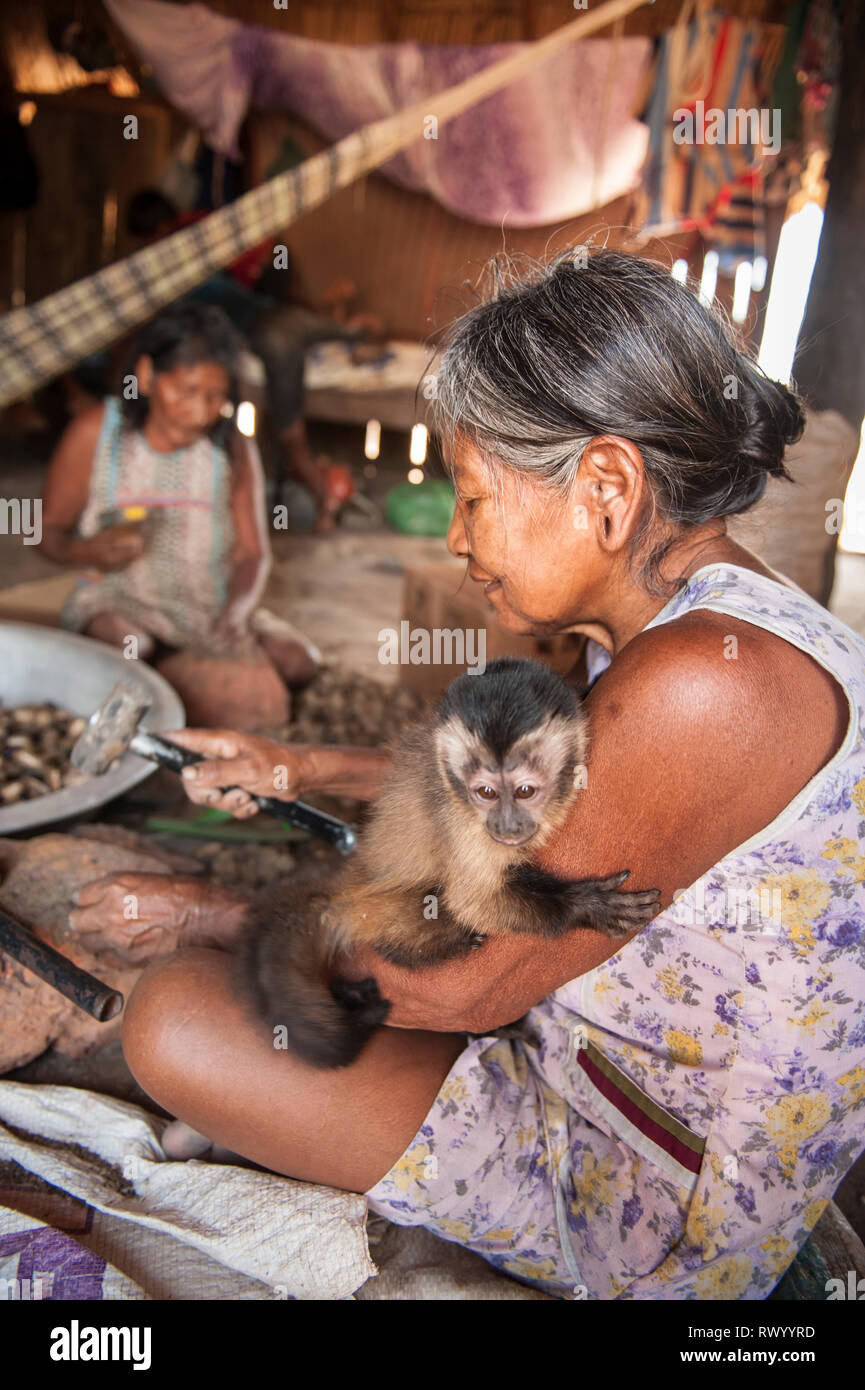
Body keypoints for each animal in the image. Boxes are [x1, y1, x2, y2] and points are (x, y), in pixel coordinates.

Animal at [240, 656, 661, 1067]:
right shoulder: (465, 824)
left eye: (525, 791)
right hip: (375, 912)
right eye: (486, 793)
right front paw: (585, 906)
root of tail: (345, 890)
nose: (507, 825)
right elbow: (472, 901)